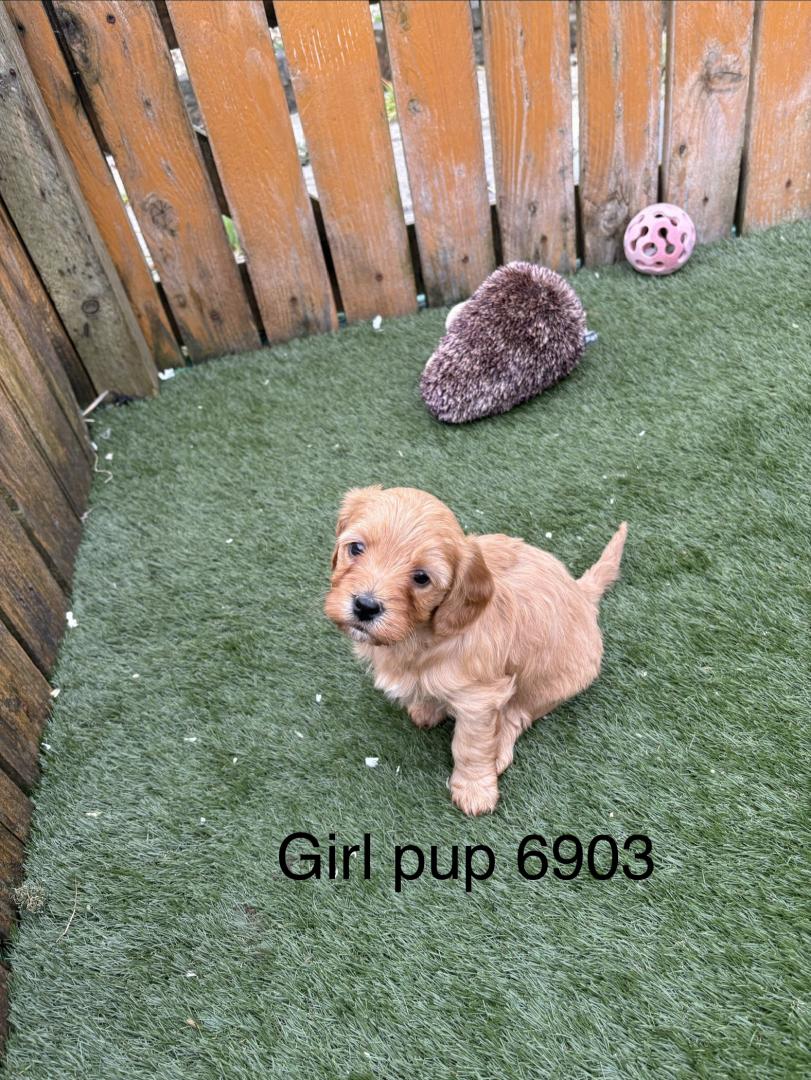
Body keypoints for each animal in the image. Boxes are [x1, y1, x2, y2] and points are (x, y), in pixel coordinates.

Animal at [324, 486, 627, 815]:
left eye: (421, 577)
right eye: (356, 548)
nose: (365, 606)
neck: (419, 637)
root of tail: (582, 593)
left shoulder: (479, 700)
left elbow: (471, 747)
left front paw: (474, 789)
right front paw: (427, 705)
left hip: (550, 678)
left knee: (517, 714)